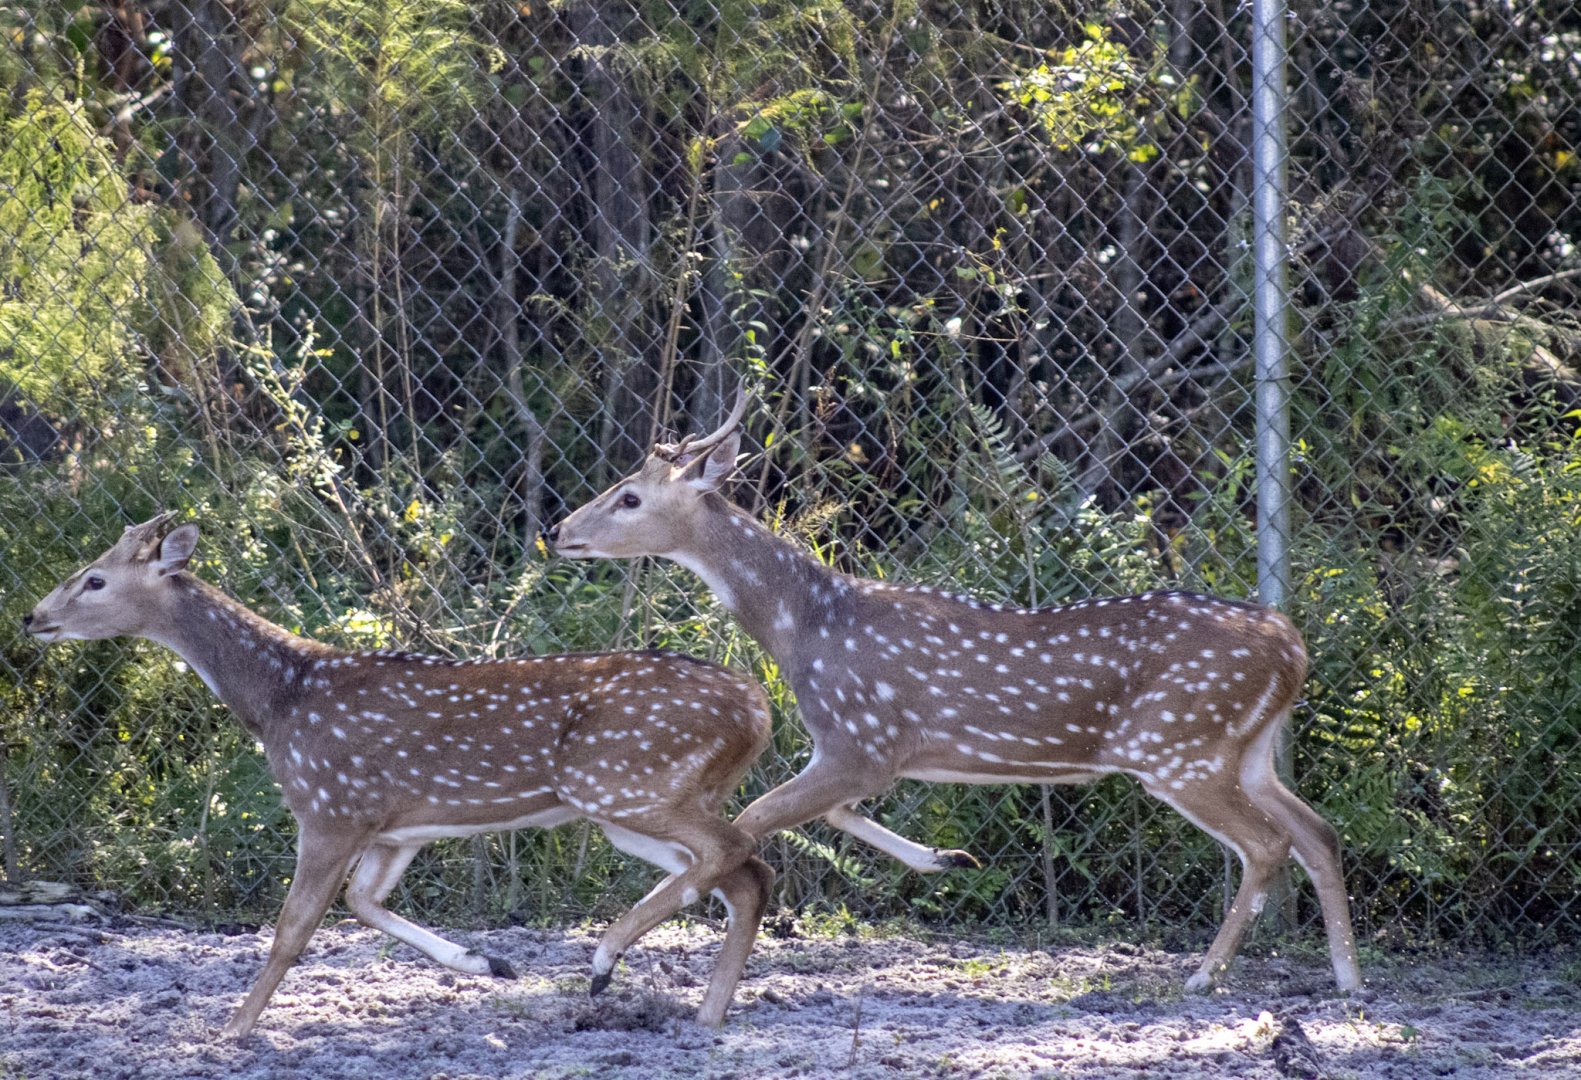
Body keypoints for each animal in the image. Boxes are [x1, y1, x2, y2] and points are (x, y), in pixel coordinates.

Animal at [23, 512, 776, 1035]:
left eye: (94, 578)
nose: (34, 617)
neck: (277, 703)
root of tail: (758, 704)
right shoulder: (394, 827)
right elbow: (363, 904)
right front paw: (485, 962)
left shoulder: (330, 807)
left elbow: (294, 928)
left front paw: (230, 1028)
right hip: (634, 801)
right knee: (743, 871)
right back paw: (704, 1013)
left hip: (622, 781)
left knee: (735, 848)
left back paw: (605, 961)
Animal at [548, 391, 1363, 995]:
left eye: (628, 497)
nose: (558, 530)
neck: (803, 626)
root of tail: (1292, 645)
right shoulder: (866, 752)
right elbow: (828, 816)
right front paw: (948, 859)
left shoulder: (857, 738)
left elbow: (747, 824)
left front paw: (605, 957)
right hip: (1246, 748)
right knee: (1317, 831)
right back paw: (1347, 979)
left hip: (1179, 747)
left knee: (1267, 844)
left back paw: (1203, 977)